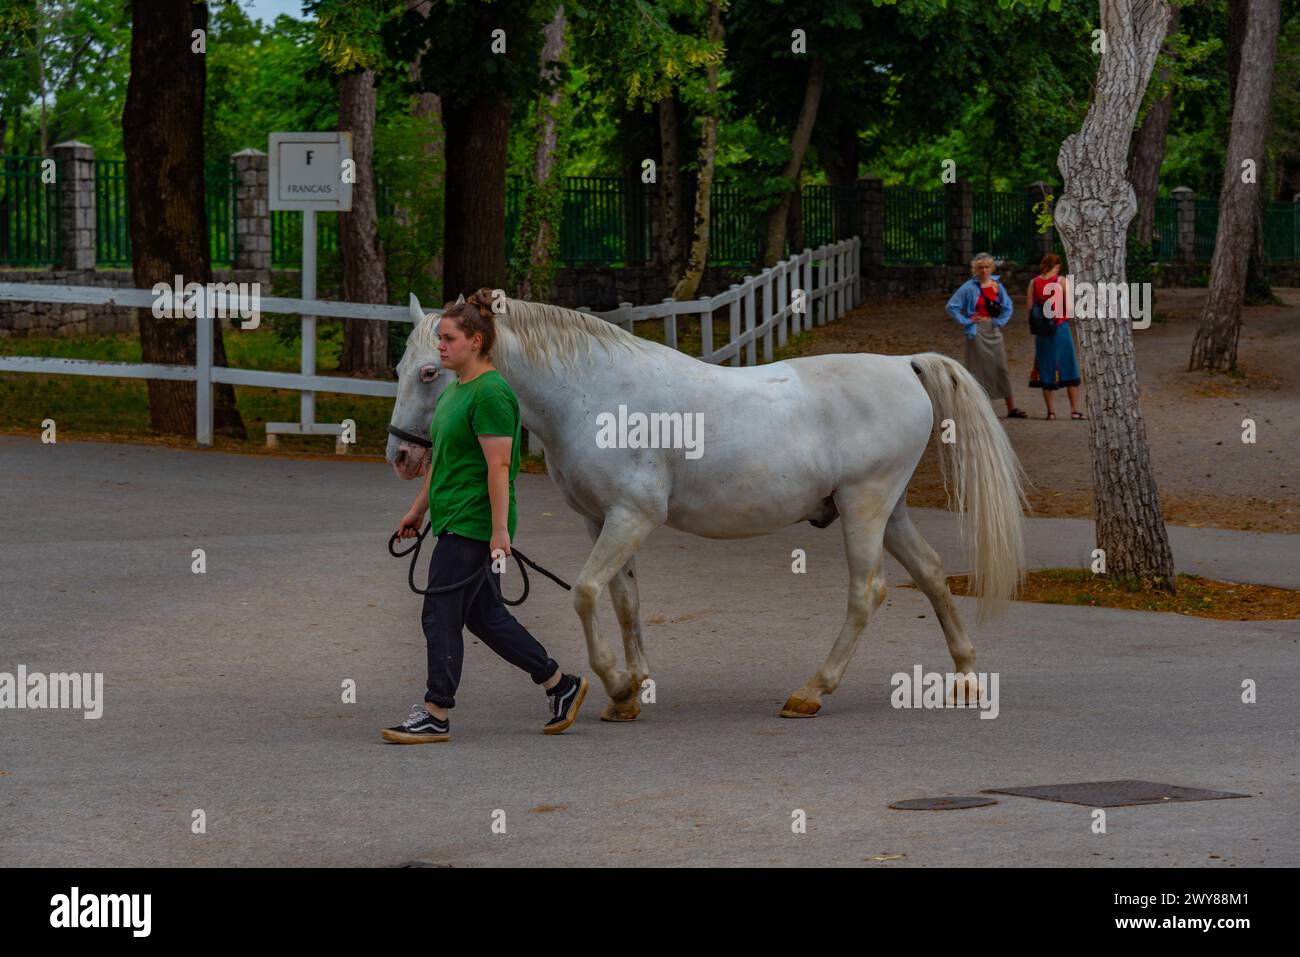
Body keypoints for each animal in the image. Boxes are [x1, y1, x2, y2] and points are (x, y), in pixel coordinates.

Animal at [386, 293, 1027, 720]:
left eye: (431, 369)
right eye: (400, 368)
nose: (401, 454)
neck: (595, 394)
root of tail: (903, 365)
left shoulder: (632, 517)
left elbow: (586, 593)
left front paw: (616, 683)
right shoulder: (603, 521)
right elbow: (624, 600)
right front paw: (634, 688)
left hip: (865, 508)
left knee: (867, 592)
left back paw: (812, 691)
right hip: (888, 512)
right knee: (933, 573)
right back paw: (966, 678)